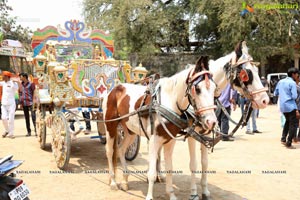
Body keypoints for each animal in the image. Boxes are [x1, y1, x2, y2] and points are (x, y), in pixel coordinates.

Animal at [102, 55, 217, 199]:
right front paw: (149, 196)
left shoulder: (170, 140)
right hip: (110, 126)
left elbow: (169, 168)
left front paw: (171, 195)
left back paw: (124, 181)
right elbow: (151, 172)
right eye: (198, 89)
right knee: (109, 151)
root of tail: (115, 88)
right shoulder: (154, 140)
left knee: (121, 149)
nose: (211, 121)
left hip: (130, 131)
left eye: (215, 88)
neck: (169, 102)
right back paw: (113, 182)